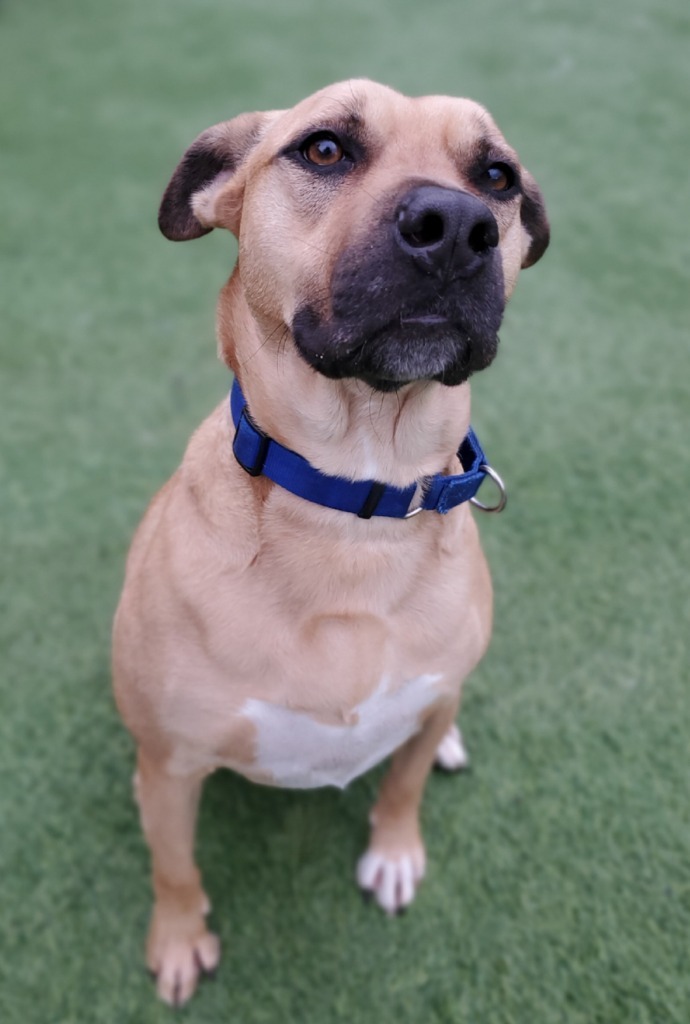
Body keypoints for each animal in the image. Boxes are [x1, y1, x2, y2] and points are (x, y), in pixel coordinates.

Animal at [110, 81, 544, 1007]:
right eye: (323, 149)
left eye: (496, 175)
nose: (457, 225)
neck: (356, 505)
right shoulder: (168, 768)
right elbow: (174, 868)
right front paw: (178, 940)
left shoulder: (429, 691)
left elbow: (405, 782)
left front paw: (395, 852)